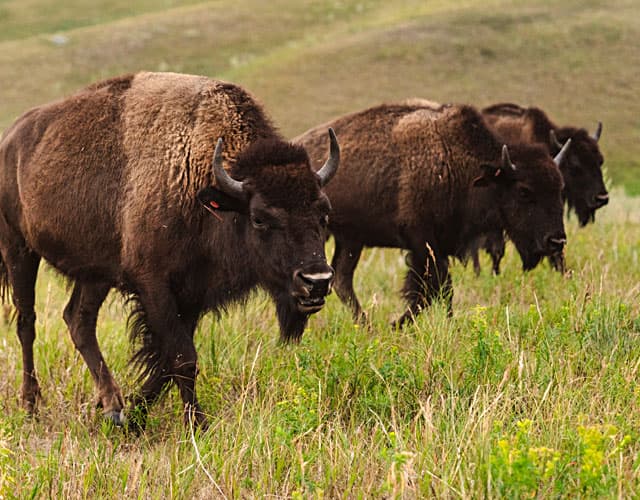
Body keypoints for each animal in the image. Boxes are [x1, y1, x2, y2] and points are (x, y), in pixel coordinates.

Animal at [0, 72, 340, 429]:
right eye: (260, 218)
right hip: (19, 250)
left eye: (324, 212)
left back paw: (110, 404)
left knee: (78, 320)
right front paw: (196, 424)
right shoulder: (154, 285)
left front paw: (133, 412)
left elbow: (167, 360)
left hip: (96, 273)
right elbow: (182, 357)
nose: (316, 280)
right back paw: (31, 405)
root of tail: (10, 140)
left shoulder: (192, 294)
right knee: (26, 322)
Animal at [295, 101, 569, 325]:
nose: (556, 241)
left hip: (352, 238)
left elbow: (431, 293)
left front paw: (402, 323)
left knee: (342, 278)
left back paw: (366, 325)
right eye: (524, 191)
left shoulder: (439, 246)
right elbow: (436, 290)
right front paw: (405, 323)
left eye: (560, 188)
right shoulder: (422, 242)